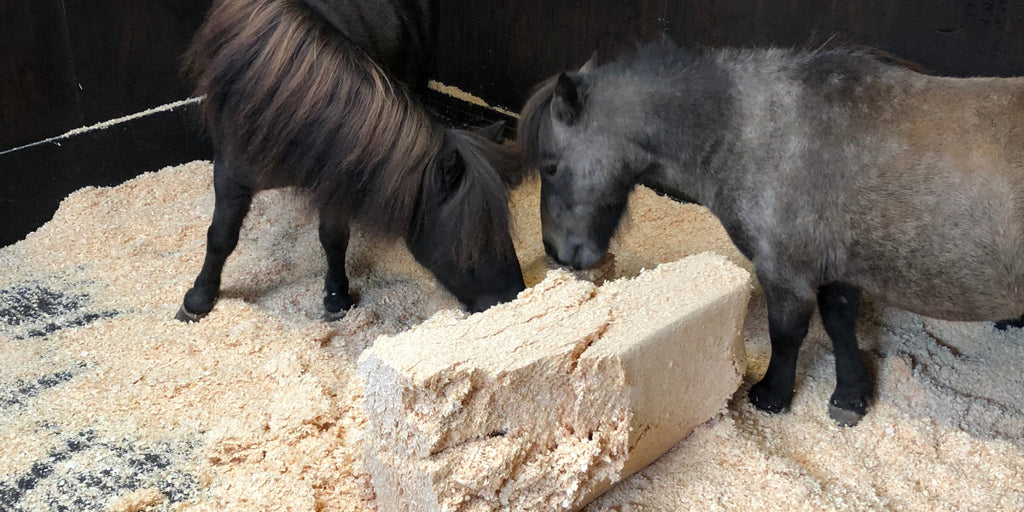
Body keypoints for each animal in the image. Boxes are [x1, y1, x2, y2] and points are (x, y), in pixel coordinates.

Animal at [176, 0, 524, 319]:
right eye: (473, 236)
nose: (513, 296)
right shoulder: (230, 174)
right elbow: (221, 237)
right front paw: (199, 299)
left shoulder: (338, 179)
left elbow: (334, 239)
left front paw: (336, 297)